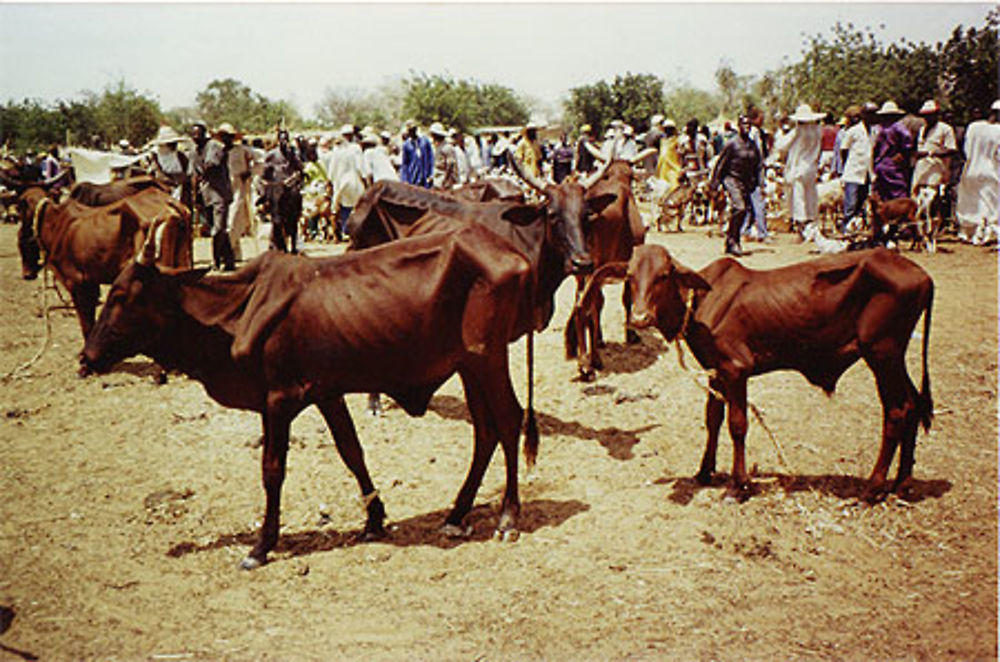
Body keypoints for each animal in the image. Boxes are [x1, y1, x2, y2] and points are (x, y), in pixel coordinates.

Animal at [83, 224, 536, 572]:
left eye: (122, 296)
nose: (86, 356)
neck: (234, 312)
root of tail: (512, 252)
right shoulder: (326, 392)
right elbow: (352, 451)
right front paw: (374, 520)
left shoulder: (279, 399)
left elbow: (272, 470)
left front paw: (262, 545)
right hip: (468, 365)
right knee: (485, 431)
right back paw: (456, 514)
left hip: (487, 357)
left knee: (508, 421)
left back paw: (508, 517)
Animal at [604, 245, 932, 504]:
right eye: (630, 276)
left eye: (663, 275)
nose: (640, 318)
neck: (698, 303)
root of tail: (923, 276)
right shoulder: (715, 372)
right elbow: (713, 419)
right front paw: (704, 471)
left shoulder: (736, 370)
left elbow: (737, 425)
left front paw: (738, 486)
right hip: (893, 357)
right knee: (914, 404)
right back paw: (902, 484)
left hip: (881, 354)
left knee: (896, 412)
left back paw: (872, 490)